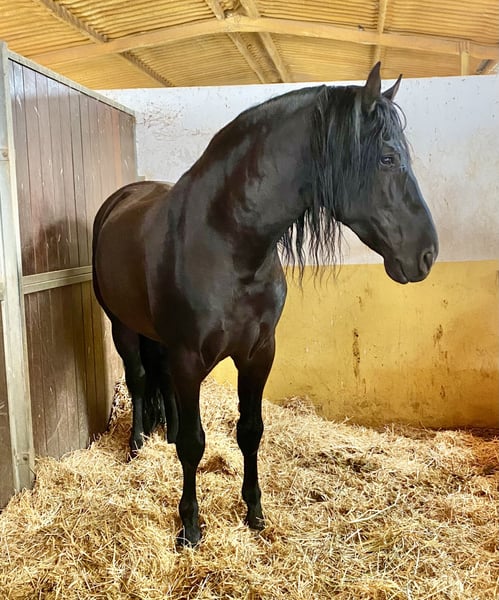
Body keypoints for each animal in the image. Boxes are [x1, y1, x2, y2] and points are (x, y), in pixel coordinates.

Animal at [92, 63, 438, 546]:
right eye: (388, 158)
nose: (427, 253)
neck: (227, 243)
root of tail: (122, 198)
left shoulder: (259, 353)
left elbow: (250, 431)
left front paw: (254, 512)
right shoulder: (188, 358)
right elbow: (195, 444)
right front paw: (190, 526)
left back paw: (163, 434)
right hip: (122, 325)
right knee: (141, 378)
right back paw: (138, 443)